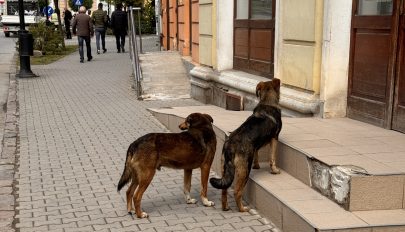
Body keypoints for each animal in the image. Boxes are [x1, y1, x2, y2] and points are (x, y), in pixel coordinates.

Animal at [208, 79, 280, 212]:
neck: (267, 102)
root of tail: (230, 145)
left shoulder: (256, 147)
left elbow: (257, 154)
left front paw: (257, 165)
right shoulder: (274, 138)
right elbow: (272, 158)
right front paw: (275, 170)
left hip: (225, 168)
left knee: (224, 190)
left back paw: (226, 207)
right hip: (244, 169)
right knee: (237, 191)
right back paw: (242, 209)